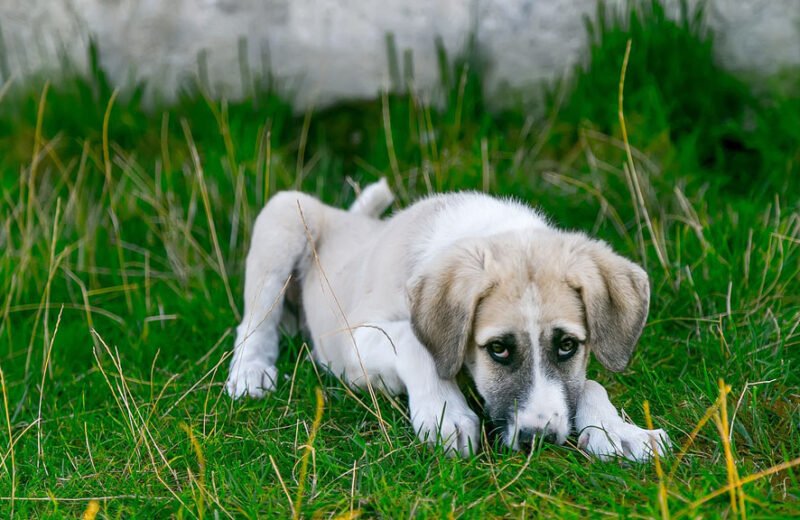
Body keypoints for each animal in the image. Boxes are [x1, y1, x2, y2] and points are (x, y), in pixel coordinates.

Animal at [225, 180, 668, 460]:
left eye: (567, 345)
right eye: (498, 349)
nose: (538, 439)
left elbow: (589, 383)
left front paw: (619, 430)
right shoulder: (355, 339)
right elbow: (414, 343)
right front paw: (444, 413)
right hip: (284, 215)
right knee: (254, 321)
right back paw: (250, 372)